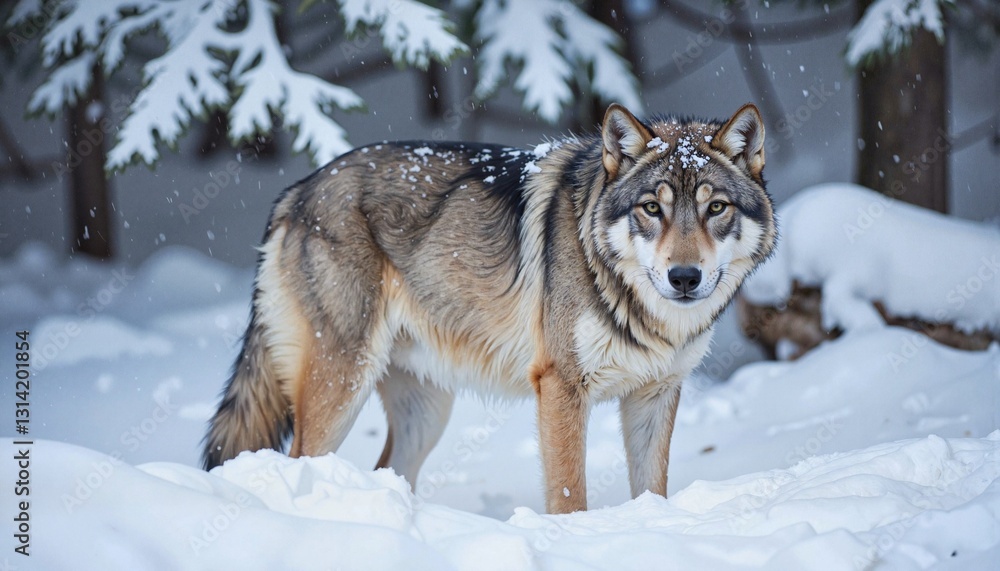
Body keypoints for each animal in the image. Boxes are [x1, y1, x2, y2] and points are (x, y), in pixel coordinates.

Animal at [203, 103, 776, 513]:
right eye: (652, 208)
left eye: (716, 208)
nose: (685, 278)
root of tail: (297, 190)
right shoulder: (561, 388)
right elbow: (569, 496)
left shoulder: (656, 394)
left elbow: (652, 491)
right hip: (343, 385)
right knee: (299, 460)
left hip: (426, 412)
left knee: (386, 470)